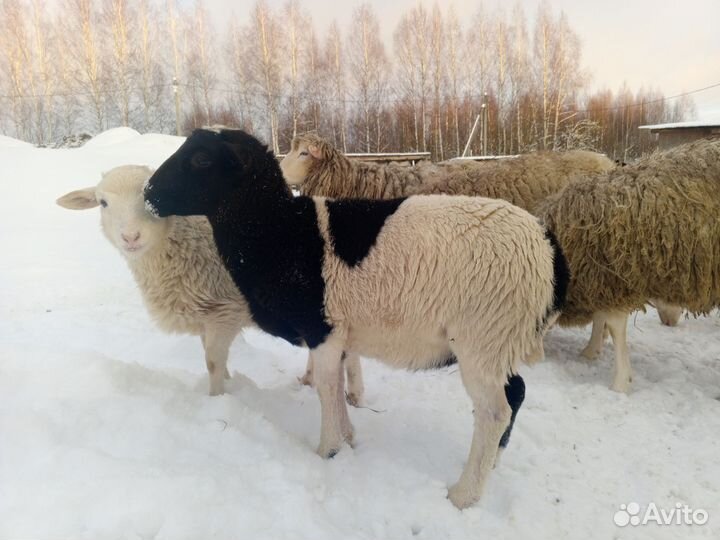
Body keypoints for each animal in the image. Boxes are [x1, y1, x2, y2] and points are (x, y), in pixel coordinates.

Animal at [143, 128, 568, 509]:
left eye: (201, 160)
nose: (148, 195)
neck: (277, 233)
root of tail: (547, 247)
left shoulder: (323, 329)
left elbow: (326, 388)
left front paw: (327, 450)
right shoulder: (341, 334)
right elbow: (338, 386)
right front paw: (347, 437)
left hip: (482, 339)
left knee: (495, 411)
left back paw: (464, 495)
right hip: (500, 342)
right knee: (516, 392)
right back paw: (493, 462)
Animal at [537, 138, 720, 392]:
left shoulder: (615, 278)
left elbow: (614, 326)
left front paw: (620, 382)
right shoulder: (603, 280)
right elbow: (600, 317)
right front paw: (591, 351)